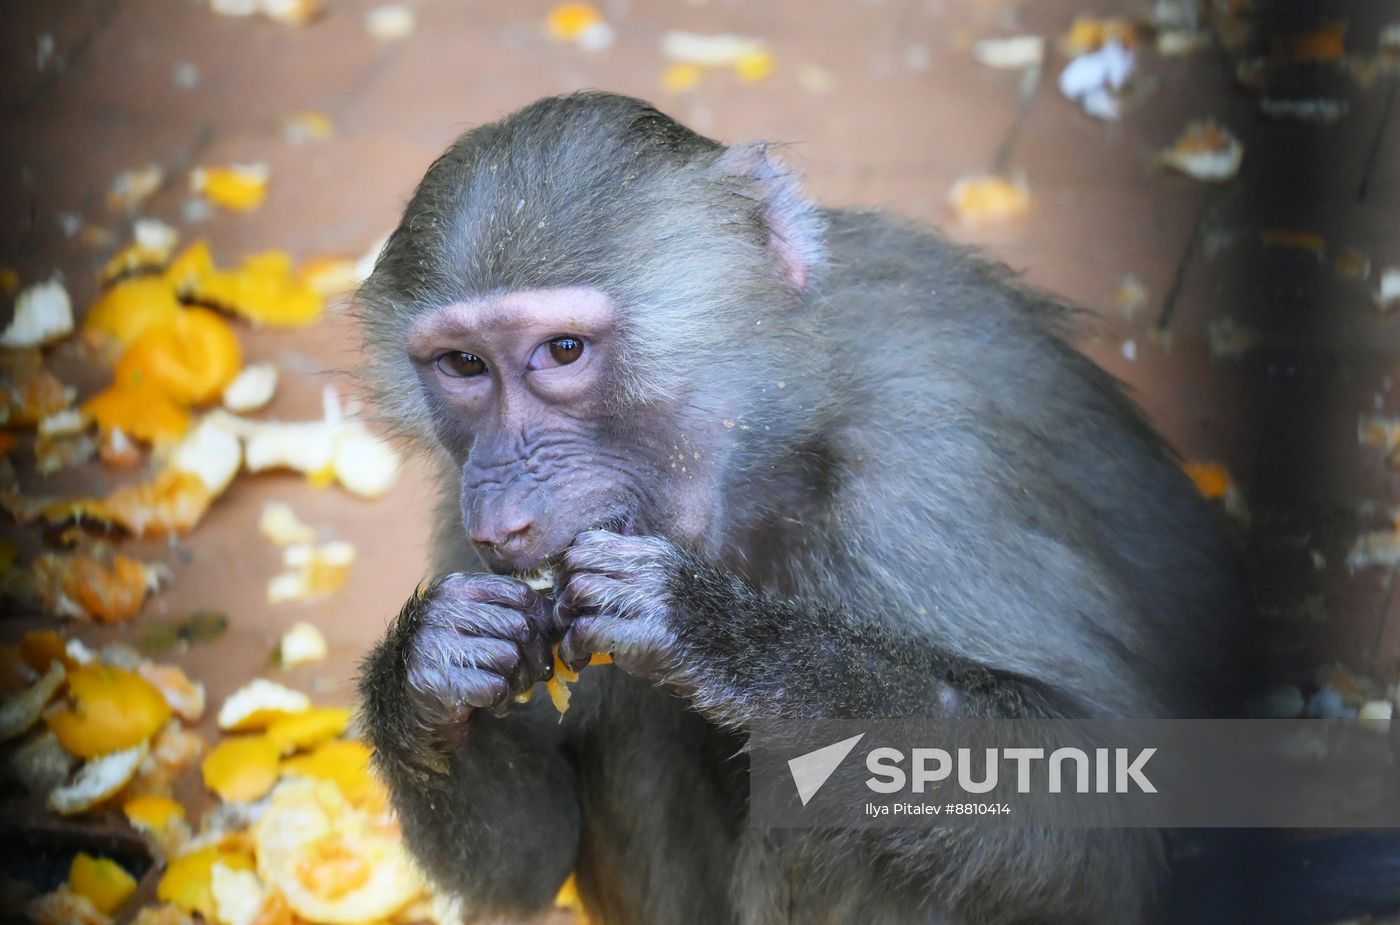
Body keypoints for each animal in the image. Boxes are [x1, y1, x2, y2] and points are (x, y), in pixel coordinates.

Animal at [355, 92, 1248, 925]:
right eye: (463, 365)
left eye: (562, 351)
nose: (501, 508)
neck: (771, 440)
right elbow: (533, 854)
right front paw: (429, 664)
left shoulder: (928, 469)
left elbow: (1106, 805)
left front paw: (732, 641)